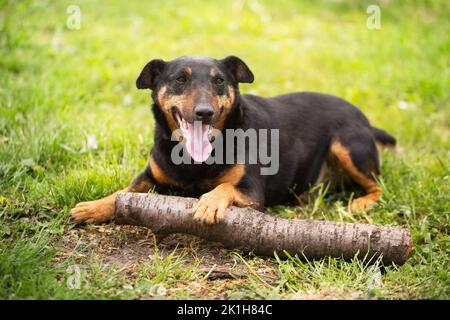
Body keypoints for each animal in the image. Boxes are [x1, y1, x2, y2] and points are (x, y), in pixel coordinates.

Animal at [69, 55, 394, 225]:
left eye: (219, 80)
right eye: (180, 79)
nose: (204, 112)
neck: (193, 159)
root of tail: (366, 121)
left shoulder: (251, 193)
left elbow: (224, 186)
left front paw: (209, 203)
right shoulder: (149, 176)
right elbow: (121, 193)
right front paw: (92, 207)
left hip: (348, 145)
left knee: (379, 187)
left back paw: (360, 203)